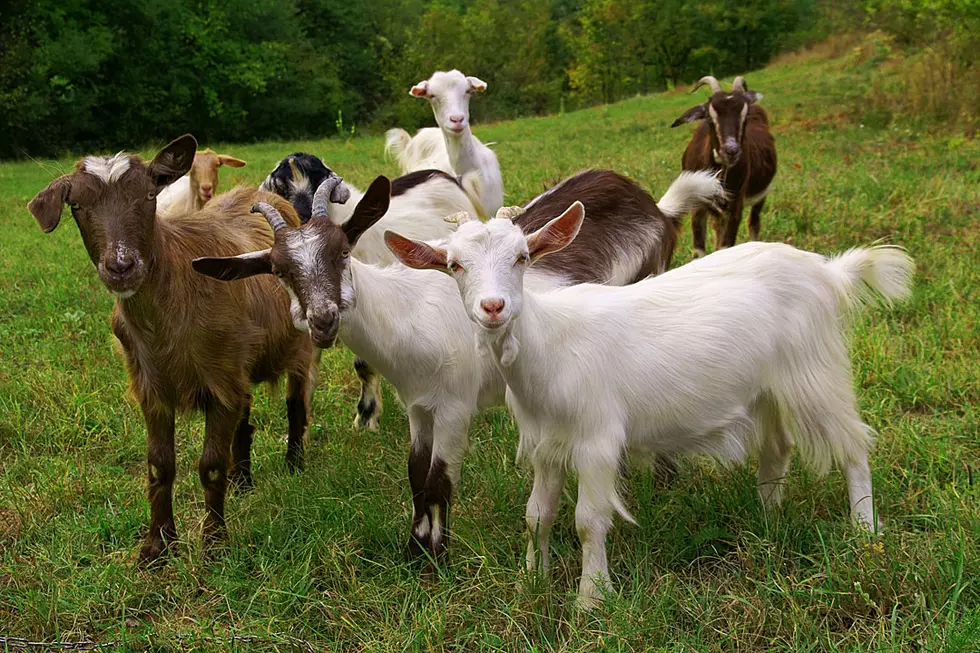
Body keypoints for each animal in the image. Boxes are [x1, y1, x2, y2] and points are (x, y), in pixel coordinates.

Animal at [28, 135, 316, 564]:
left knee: (295, 403)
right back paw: (243, 481)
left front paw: (214, 543)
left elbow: (210, 464)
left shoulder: (219, 380)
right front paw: (157, 546)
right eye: (76, 205)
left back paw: (295, 465)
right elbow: (159, 465)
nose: (121, 267)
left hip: (297, 345)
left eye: (150, 195)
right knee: (245, 420)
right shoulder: (153, 385)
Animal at [193, 169, 728, 572]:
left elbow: (438, 479)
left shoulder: (454, 404)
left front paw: (437, 557)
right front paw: (415, 550)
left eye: (342, 251)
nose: (323, 319)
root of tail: (656, 207)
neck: (407, 312)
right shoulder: (418, 404)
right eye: (280, 270)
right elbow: (415, 474)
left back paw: (664, 481)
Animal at [390, 202, 920, 608]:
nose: (494, 308)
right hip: (767, 386)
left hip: (814, 370)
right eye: (454, 265)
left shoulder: (597, 439)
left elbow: (588, 521)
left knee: (853, 444)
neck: (550, 347)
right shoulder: (545, 443)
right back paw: (768, 520)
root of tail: (827, 271)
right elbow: (536, 514)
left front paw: (592, 599)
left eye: (522, 257)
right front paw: (531, 582)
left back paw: (865, 532)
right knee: (778, 448)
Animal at [668, 76, 776, 258]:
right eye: (710, 118)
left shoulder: (735, 204)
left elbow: (726, 246)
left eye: (745, 117)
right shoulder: (698, 205)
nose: (731, 151)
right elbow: (699, 251)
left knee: (753, 223)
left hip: (761, 195)